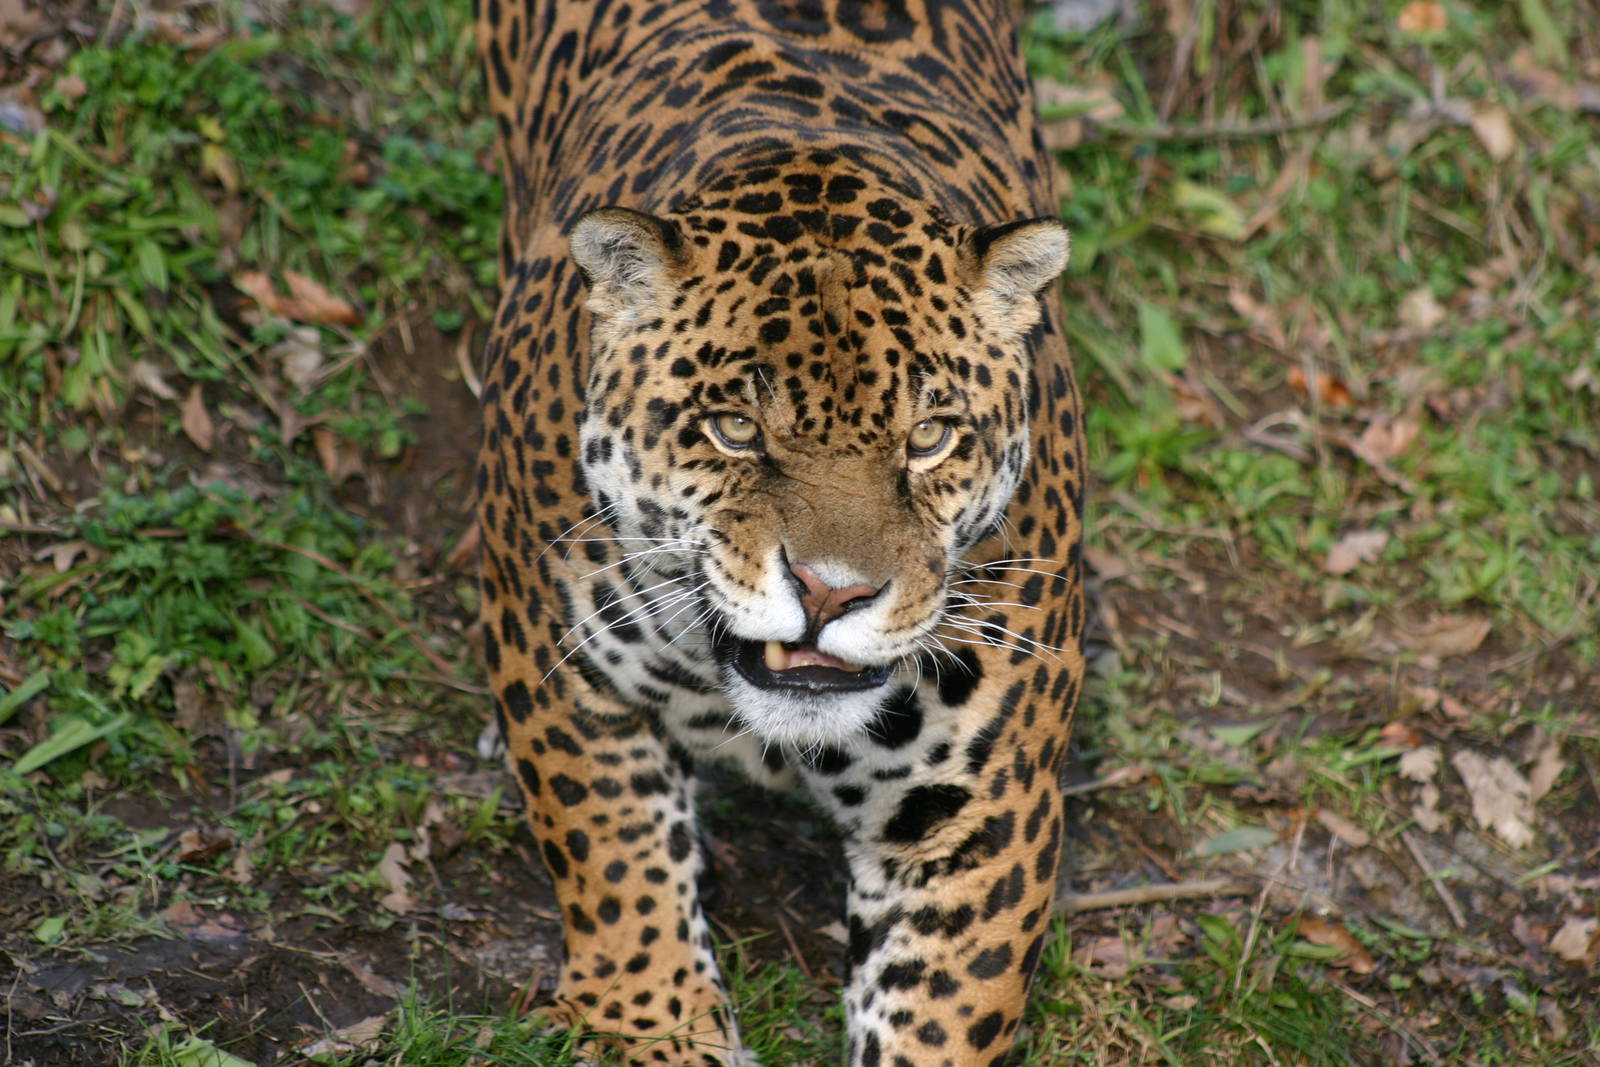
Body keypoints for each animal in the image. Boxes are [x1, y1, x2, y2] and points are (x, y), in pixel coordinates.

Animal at [472, 1, 1086, 1064]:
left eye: (928, 437)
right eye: (733, 429)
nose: (833, 591)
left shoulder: (982, 802)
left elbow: (940, 1009)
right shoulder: (553, 657)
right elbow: (613, 855)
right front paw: (649, 1024)